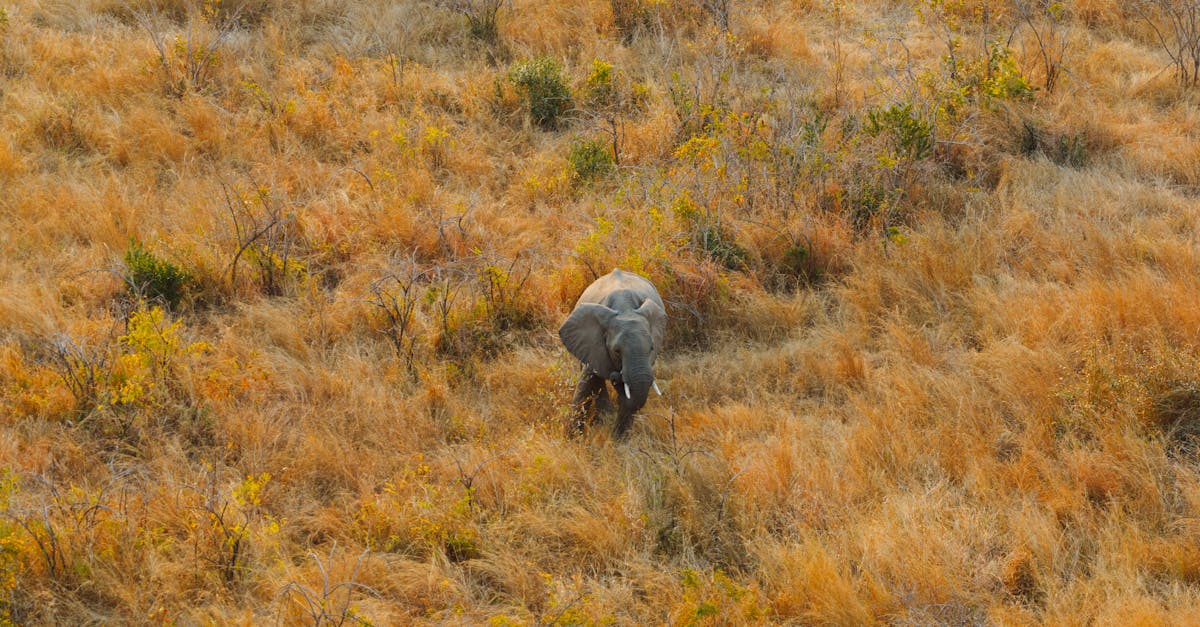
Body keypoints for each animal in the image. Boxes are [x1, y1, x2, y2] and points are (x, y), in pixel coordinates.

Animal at [559, 269, 667, 438]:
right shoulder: (592, 343)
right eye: (616, 351)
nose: (616, 376)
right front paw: (573, 439)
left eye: (651, 349)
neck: (625, 309)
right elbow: (587, 382)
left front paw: (619, 441)